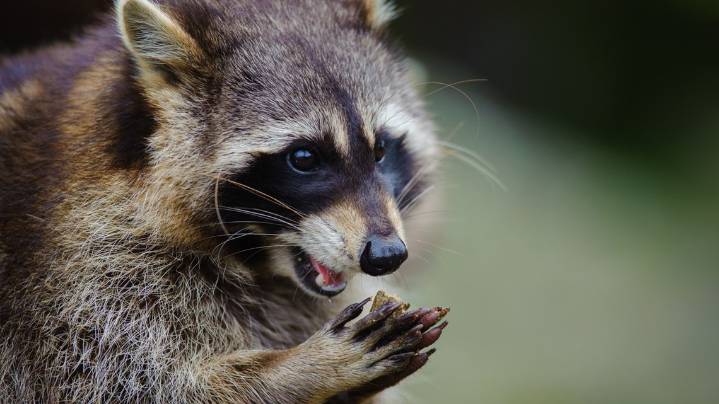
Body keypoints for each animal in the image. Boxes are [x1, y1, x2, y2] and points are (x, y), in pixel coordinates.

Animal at [0, 0, 444, 402]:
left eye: (381, 149)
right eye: (303, 158)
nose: (386, 255)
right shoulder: (78, 278)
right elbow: (123, 384)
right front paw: (292, 372)